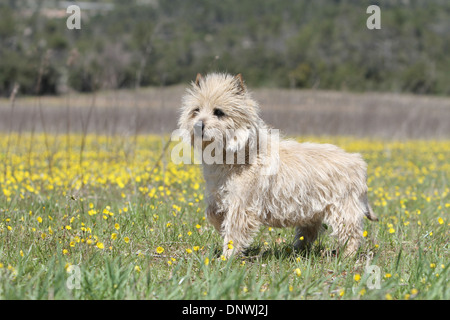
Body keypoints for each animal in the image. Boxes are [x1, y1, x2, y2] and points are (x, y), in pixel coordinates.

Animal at [176, 72, 376, 258]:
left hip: (343, 209)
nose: (198, 125)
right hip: (312, 211)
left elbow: (234, 229)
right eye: (196, 110)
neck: (235, 155)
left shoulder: (242, 204)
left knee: (352, 234)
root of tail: (358, 162)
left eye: (218, 112)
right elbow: (212, 213)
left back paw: (347, 256)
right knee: (309, 233)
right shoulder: (218, 195)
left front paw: (227, 257)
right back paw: (298, 250)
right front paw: (221, 228)